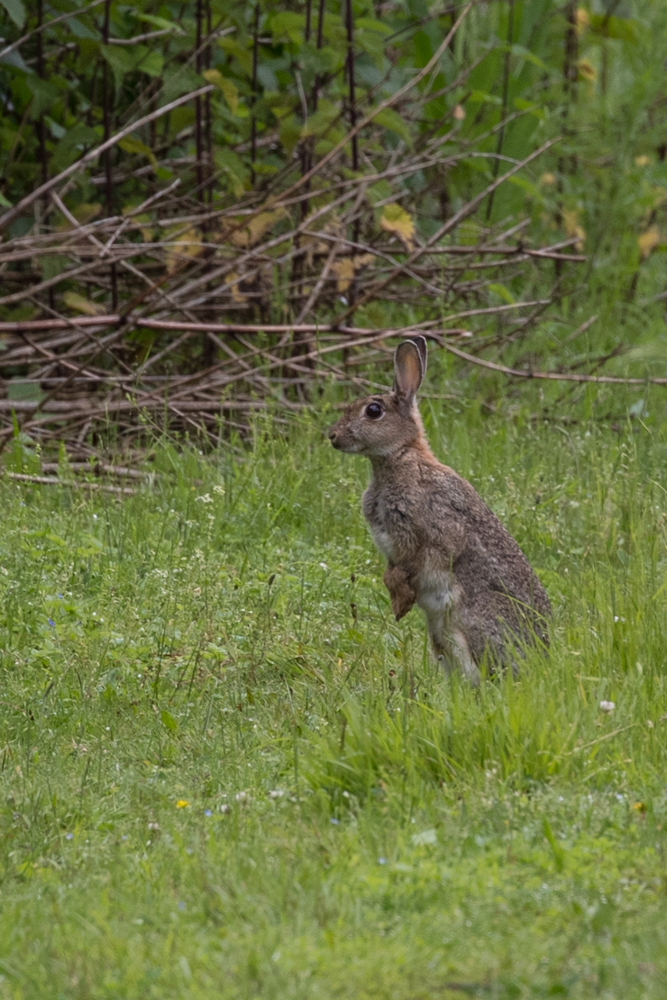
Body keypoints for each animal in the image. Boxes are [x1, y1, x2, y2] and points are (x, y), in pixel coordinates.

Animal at [326, 340, 552, 684]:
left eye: (374, 411)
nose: (333, 437)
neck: (400, 456)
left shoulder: (430, 531)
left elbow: (414, 564)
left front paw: (401, 603)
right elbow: (392, 571)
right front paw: (399, 604)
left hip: (469, 626)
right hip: (440, 636)